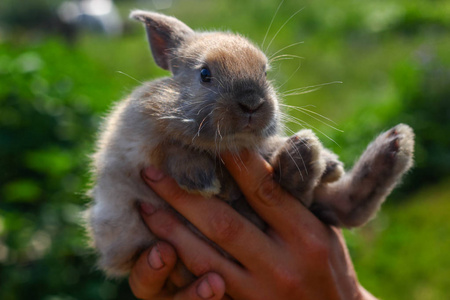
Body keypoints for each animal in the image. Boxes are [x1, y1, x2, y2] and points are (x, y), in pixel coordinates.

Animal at [85, 9, 414, 276]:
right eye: (205, 74)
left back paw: (384, 146)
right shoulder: (133, 144)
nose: (252, 103)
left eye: (265, 72)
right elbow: (170, 147)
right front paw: (203, 180)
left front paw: (331, 163)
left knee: (338, 205)